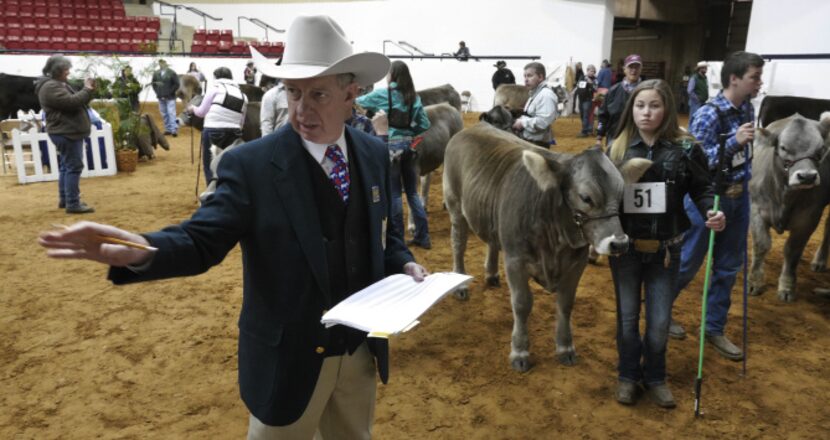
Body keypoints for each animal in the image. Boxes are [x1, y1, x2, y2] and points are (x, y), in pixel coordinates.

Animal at [446, 123, 652, 372]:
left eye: (622, 197)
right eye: (586, 198)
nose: (619, 243)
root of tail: (474, 127)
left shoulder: (577, 263)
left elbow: (565, 303)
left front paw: (565, 348)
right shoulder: (515, 259)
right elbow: (522, 303)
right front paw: (519, 352)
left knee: (492, 242)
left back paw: (492, 275)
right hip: (455, 206)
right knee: (458, 244)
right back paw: (460, 285)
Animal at [748, 111, 830, 300]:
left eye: (821, 149)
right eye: (784, 147)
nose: (807, 177)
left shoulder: (808, 218)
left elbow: (793, 251)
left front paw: (787, 287)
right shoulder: (756, 209)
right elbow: (761, 244)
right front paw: (755, 282)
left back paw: (819, 261)